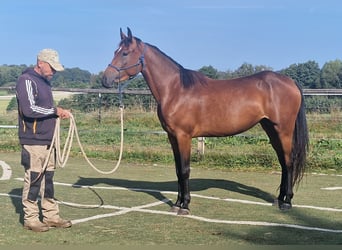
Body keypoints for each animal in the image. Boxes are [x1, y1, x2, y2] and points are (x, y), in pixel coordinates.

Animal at [102, 27, 310, 215]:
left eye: (125, 53)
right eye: (114, 51)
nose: (105, 79)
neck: (175, 90)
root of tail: (290, 81)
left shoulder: (183, 136)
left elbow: (185, 170)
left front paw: (185, 206)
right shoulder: (172, 137)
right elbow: (178, 170)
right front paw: (177, 203)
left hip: (283, 130)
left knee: (289, 161)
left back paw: (287, 202)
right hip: (271, 129)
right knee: (283, 162)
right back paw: (279, 199)